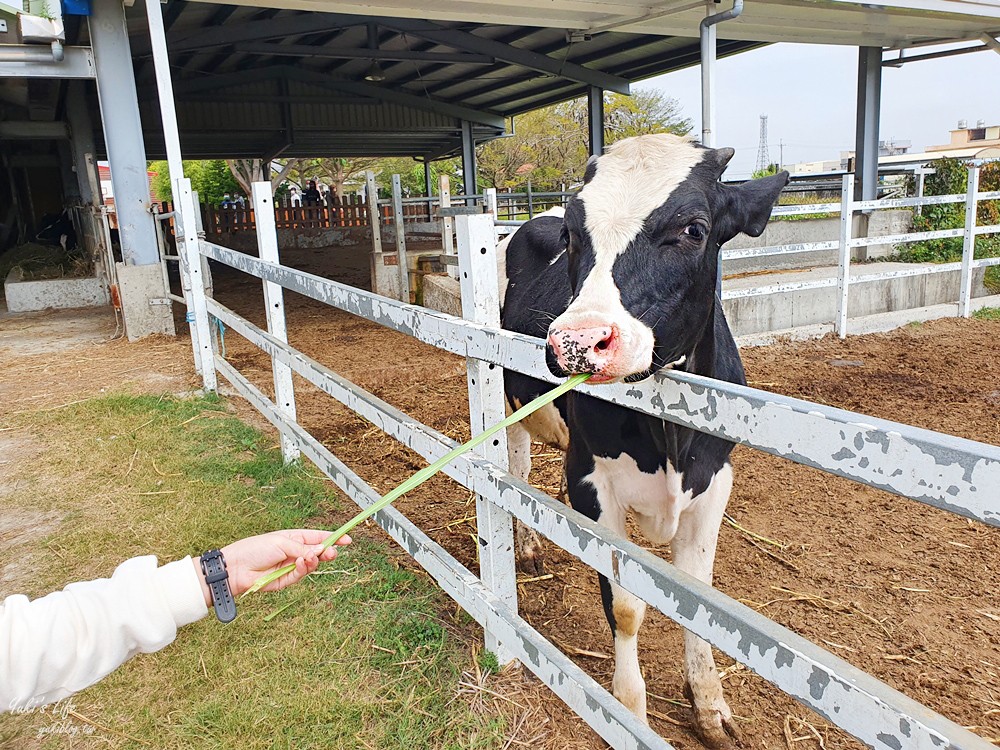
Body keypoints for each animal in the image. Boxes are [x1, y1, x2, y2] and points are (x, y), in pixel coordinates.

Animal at [500, 137, 788, 750]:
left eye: (694, 229)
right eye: (573, 235)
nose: (578, 341)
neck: (668, 436)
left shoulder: (715, 483)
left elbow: (697, 598)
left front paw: (709, 708)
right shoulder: (593, 482)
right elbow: (627, 606)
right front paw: (630, 709)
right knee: (515, 465)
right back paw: (527, 546)